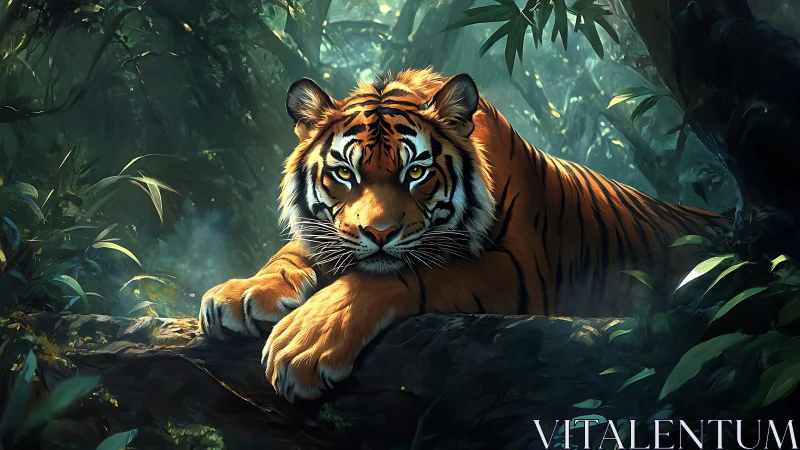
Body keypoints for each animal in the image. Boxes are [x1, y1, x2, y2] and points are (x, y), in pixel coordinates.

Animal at [199, 69, 729, 402]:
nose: (378, 233)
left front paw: (304, 342)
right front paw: (241, 292)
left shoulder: (521, 270)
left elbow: (405, 274)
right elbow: (293, 253)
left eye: (415, 171)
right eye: (345, 173)